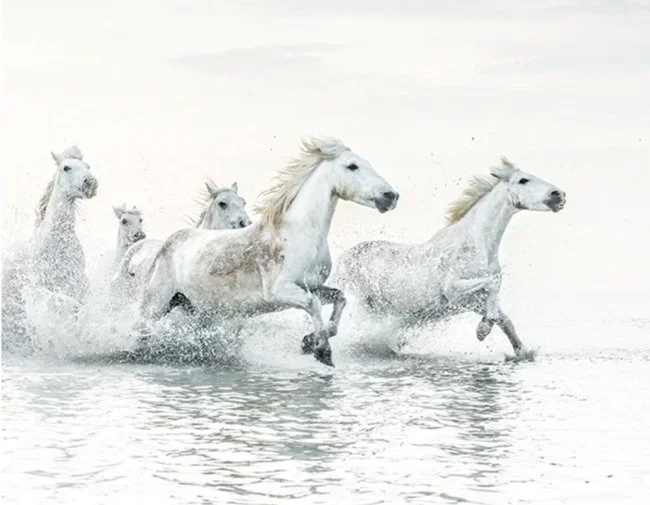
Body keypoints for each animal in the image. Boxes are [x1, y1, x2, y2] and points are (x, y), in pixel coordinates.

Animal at [139, 136, 400, 367]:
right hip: (156, 305)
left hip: (192, 308)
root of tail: (168, 243)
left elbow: (339, 298)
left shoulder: (312, 285)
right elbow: (313, 303)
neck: (299, 234)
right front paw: (322, 351)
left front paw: (309, 342)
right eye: (352, 166)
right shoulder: (280, 290)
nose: (391, 196)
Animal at [334, 157, 566, 359]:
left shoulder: (473, 299)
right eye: (523, 180)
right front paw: (482, 330)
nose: (559, 194)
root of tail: (341, 261)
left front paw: (519, 351)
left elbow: (504, 317)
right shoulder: (456, 294)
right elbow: (493, 284)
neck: (476, 245)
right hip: (364, 308)